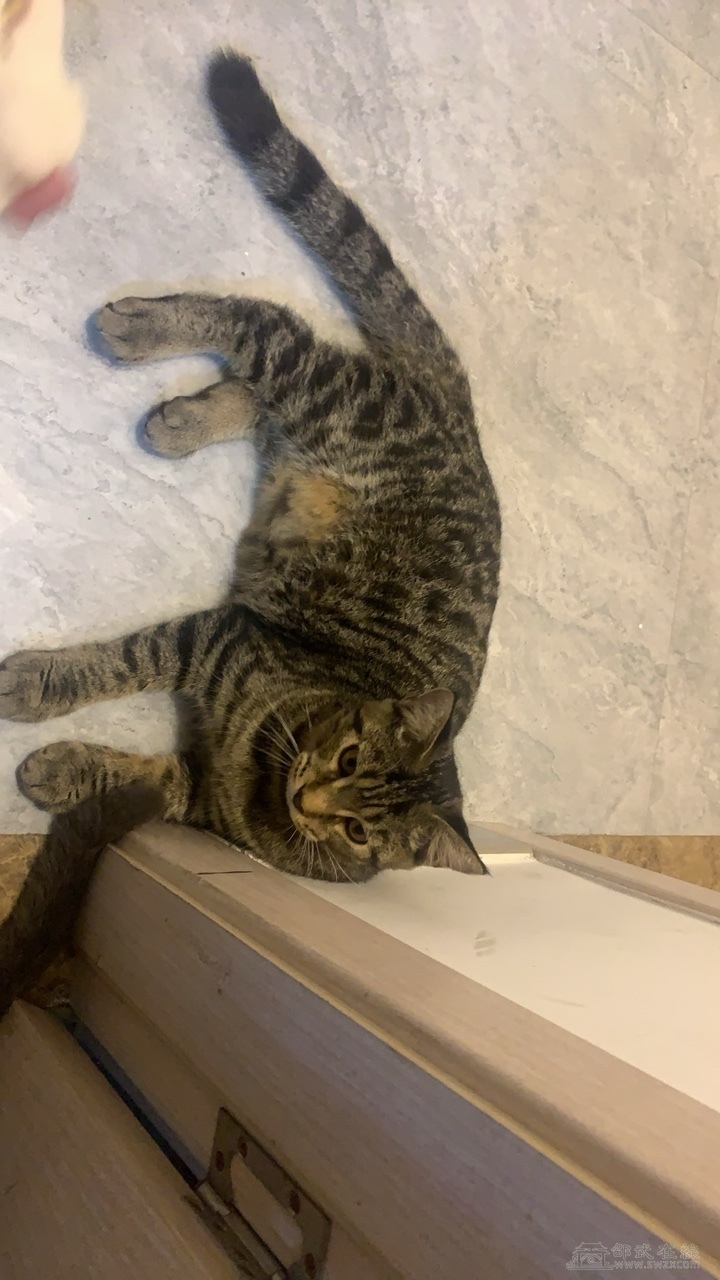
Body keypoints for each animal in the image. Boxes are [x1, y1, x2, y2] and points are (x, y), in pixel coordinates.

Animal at [0, 50, 502, 886]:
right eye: (349, 756)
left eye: (360, 833)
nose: (309, 801)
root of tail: (460, 402)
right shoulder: (214, 637)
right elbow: (123, 657)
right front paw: (41, 681)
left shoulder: (197, 795)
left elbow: (138, 774)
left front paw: (63, 768)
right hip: (332, 392)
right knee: (263, 324)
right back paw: (146, 329)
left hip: (317, 420)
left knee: (266, 391)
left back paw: (182, 419)